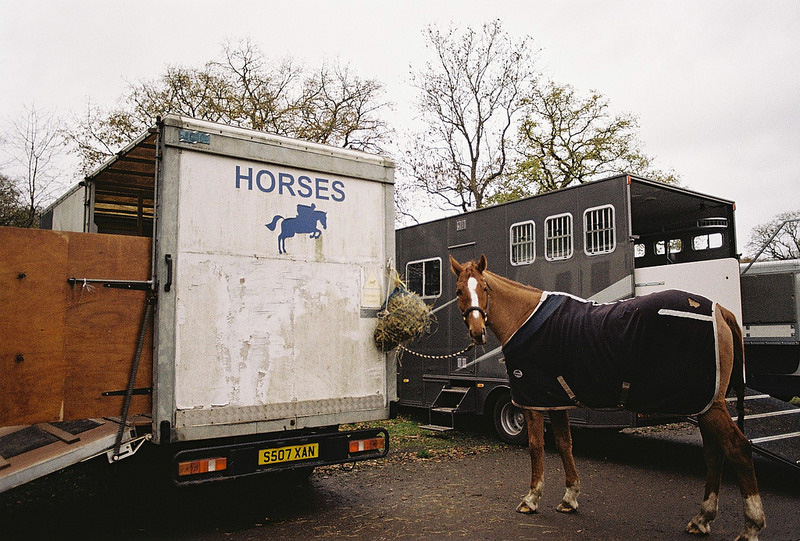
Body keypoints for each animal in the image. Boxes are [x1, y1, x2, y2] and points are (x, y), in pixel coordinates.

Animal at [450, 254, 764, 540]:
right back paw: (701, 519)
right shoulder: (555, 399)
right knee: (714, 453)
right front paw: (569, 498)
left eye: (484, 288)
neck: (524, 316)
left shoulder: (532, 398)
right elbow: (565, 444)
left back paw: (750, 527)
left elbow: (536, 447)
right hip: (704, 404)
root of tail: (720, 310)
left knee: (737, 448)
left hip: (709, 406)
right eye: (459, 290)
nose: (477, 333)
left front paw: (531, 499)